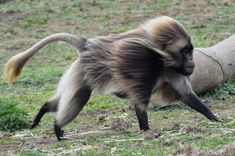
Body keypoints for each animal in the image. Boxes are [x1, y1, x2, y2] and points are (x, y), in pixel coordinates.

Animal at [3, 16, 219, 141]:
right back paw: (57, 127)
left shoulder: (174, 70)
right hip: (84, 72)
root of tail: (87, 46)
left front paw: (216, 119)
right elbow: (140, 104)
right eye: (186, 51)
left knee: (66, 99)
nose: (192, 63)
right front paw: (147, 132)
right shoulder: (143, 64)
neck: (162, 59)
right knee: (79, 98)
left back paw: (44, 112)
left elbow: (187, 96)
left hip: (79, 72)